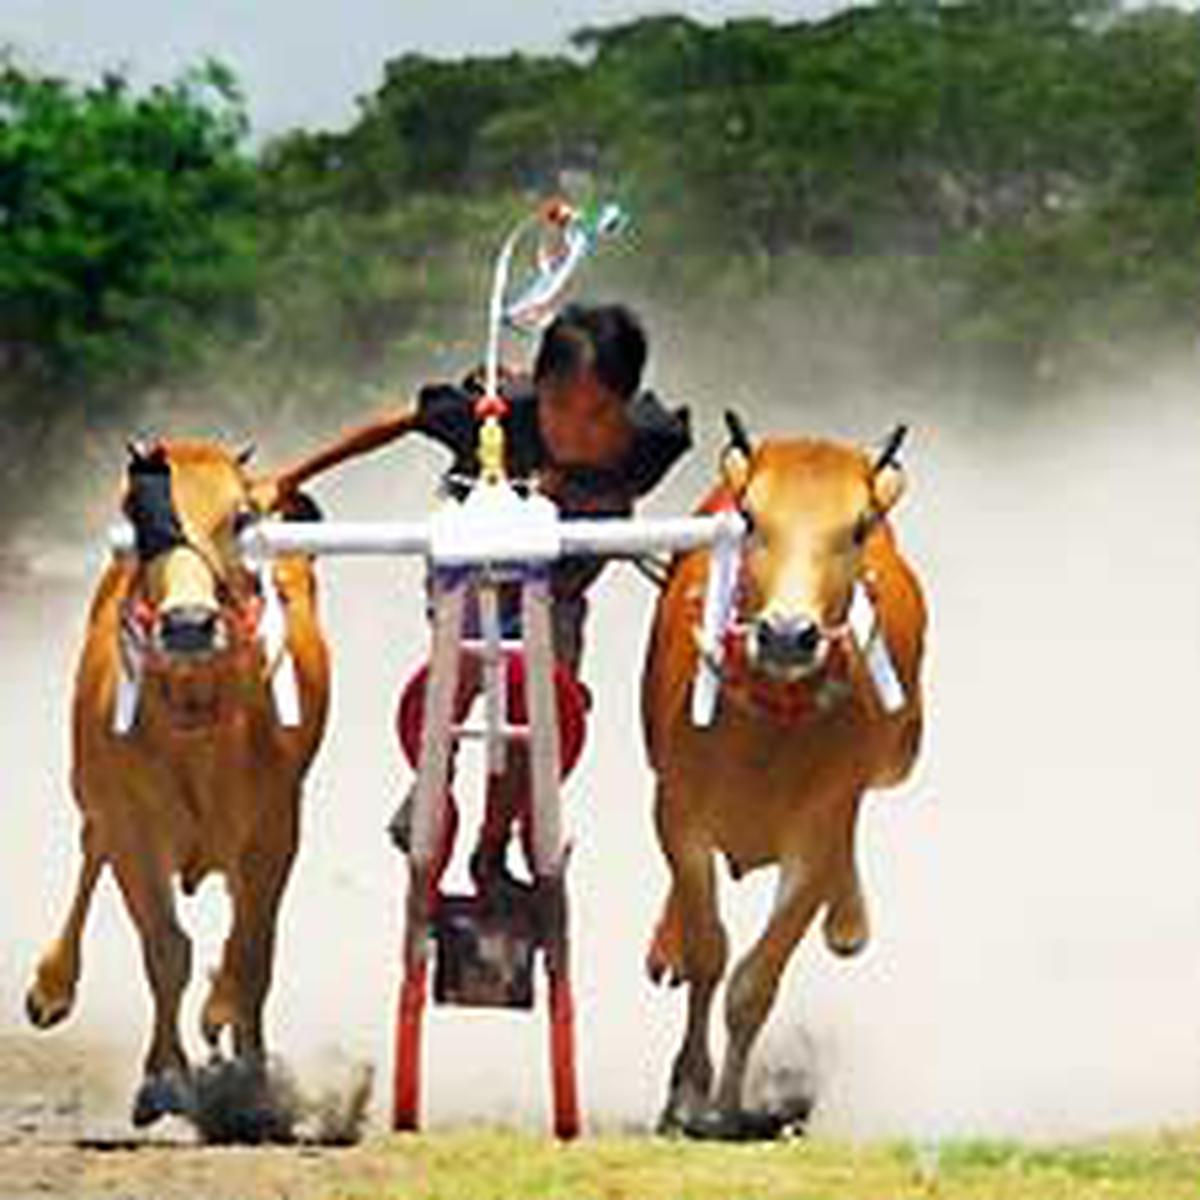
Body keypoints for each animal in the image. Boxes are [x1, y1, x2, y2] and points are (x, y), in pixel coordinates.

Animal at [24, 436, 355, 1128]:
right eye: (138, 513)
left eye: (239, 517)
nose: (188, 624)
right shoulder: (131, 827)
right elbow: (166, 947)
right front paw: (164, 1076)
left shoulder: (275, 831)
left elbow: (253, 951)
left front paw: (250, 1073)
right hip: (90, 795)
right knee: (90, 852)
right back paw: (52, 986)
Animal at [643, 417, 921, 1137]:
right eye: (751, 519)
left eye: (858, 527)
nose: (788, 634)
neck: (768, 726)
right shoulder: (677, 815)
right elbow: (709, 949)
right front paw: (686, 1091)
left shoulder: (817, 835)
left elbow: (754, 981)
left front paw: (724, 1106)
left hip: (898, 757)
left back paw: (848, 919)